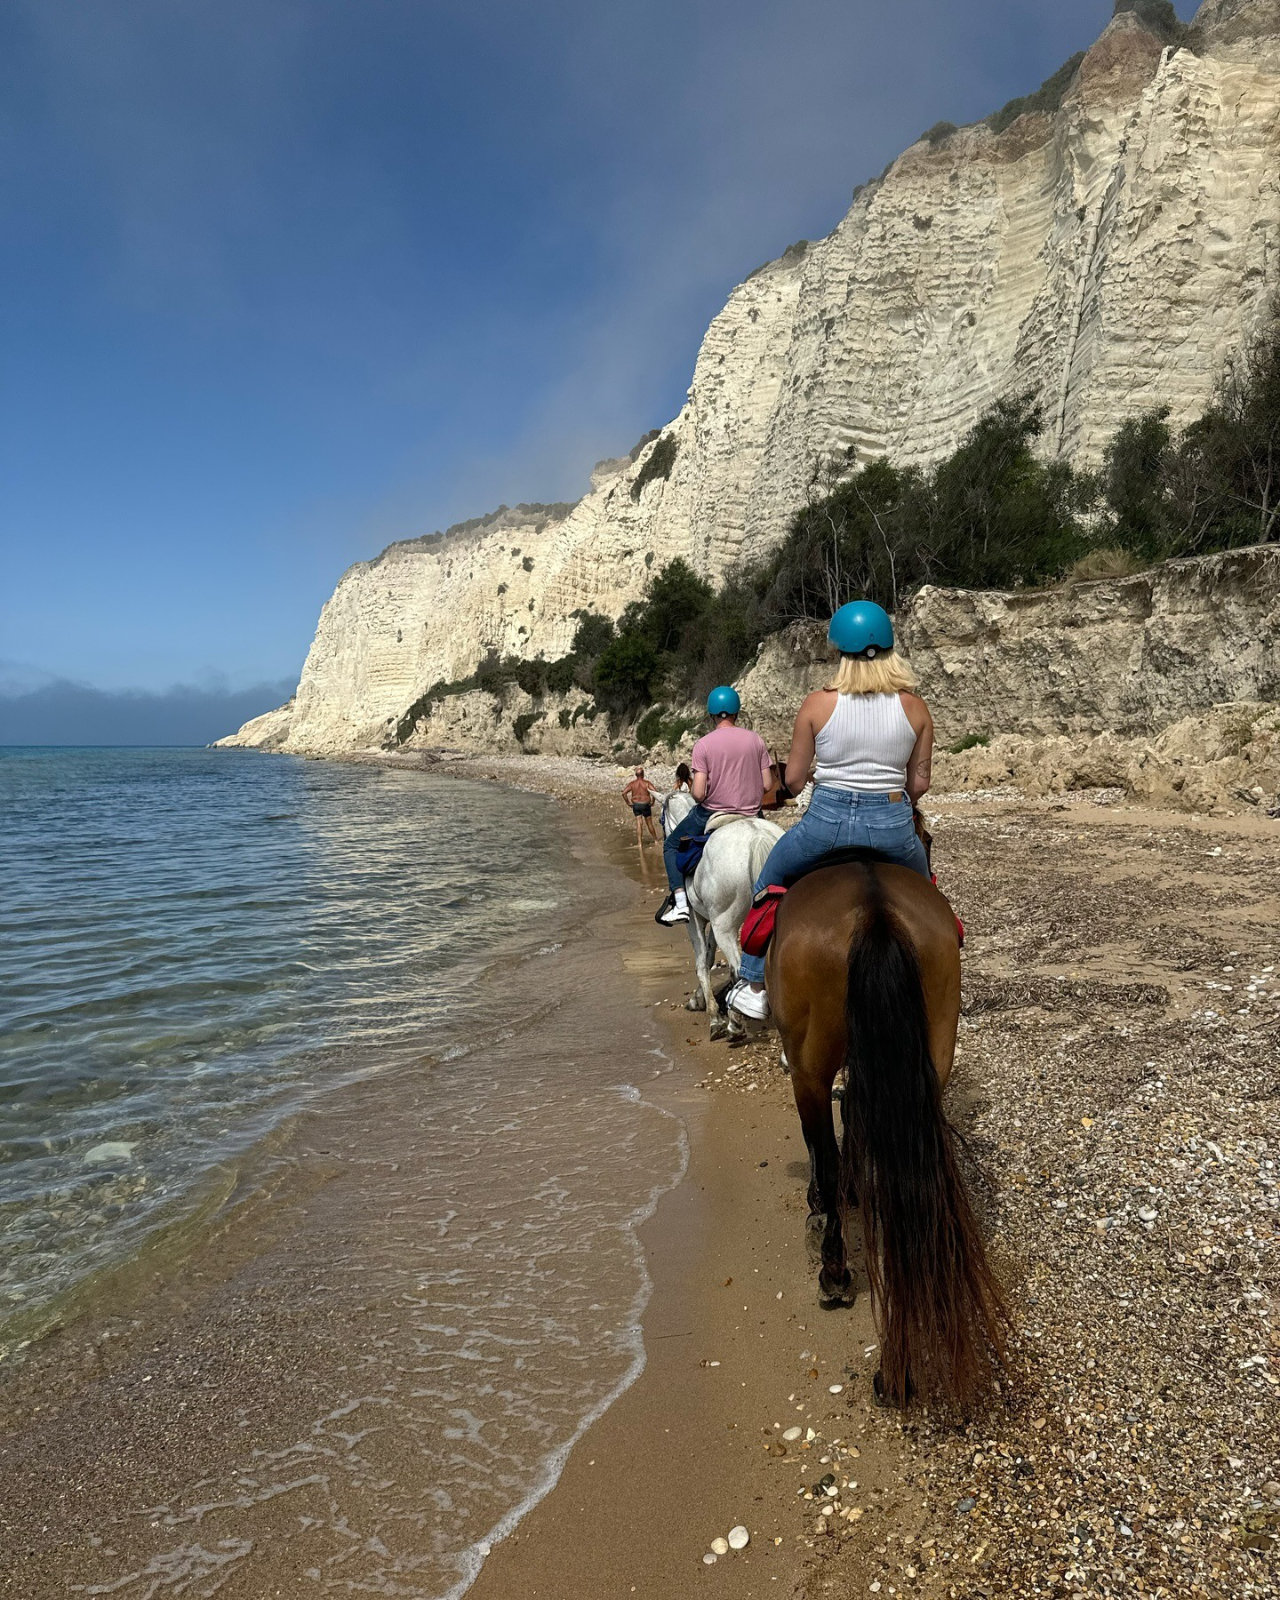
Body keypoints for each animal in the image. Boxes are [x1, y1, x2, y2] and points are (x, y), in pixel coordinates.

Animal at [686, 817, 782, 1039]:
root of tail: (757, 835)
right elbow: (709, 956)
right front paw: (699, 999)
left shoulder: (696, 919)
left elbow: (702, 962)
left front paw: (714, 1017)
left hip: (724, 925)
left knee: (738, 968)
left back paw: (735, 1023)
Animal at [766, 856, 1007, 1410]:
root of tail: (875, 911)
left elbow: (826, 1153)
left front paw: (822, 1203)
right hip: (932, 1049)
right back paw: (899, 1367)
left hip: (809, 1068)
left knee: (835, 1159)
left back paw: (835, 1273)